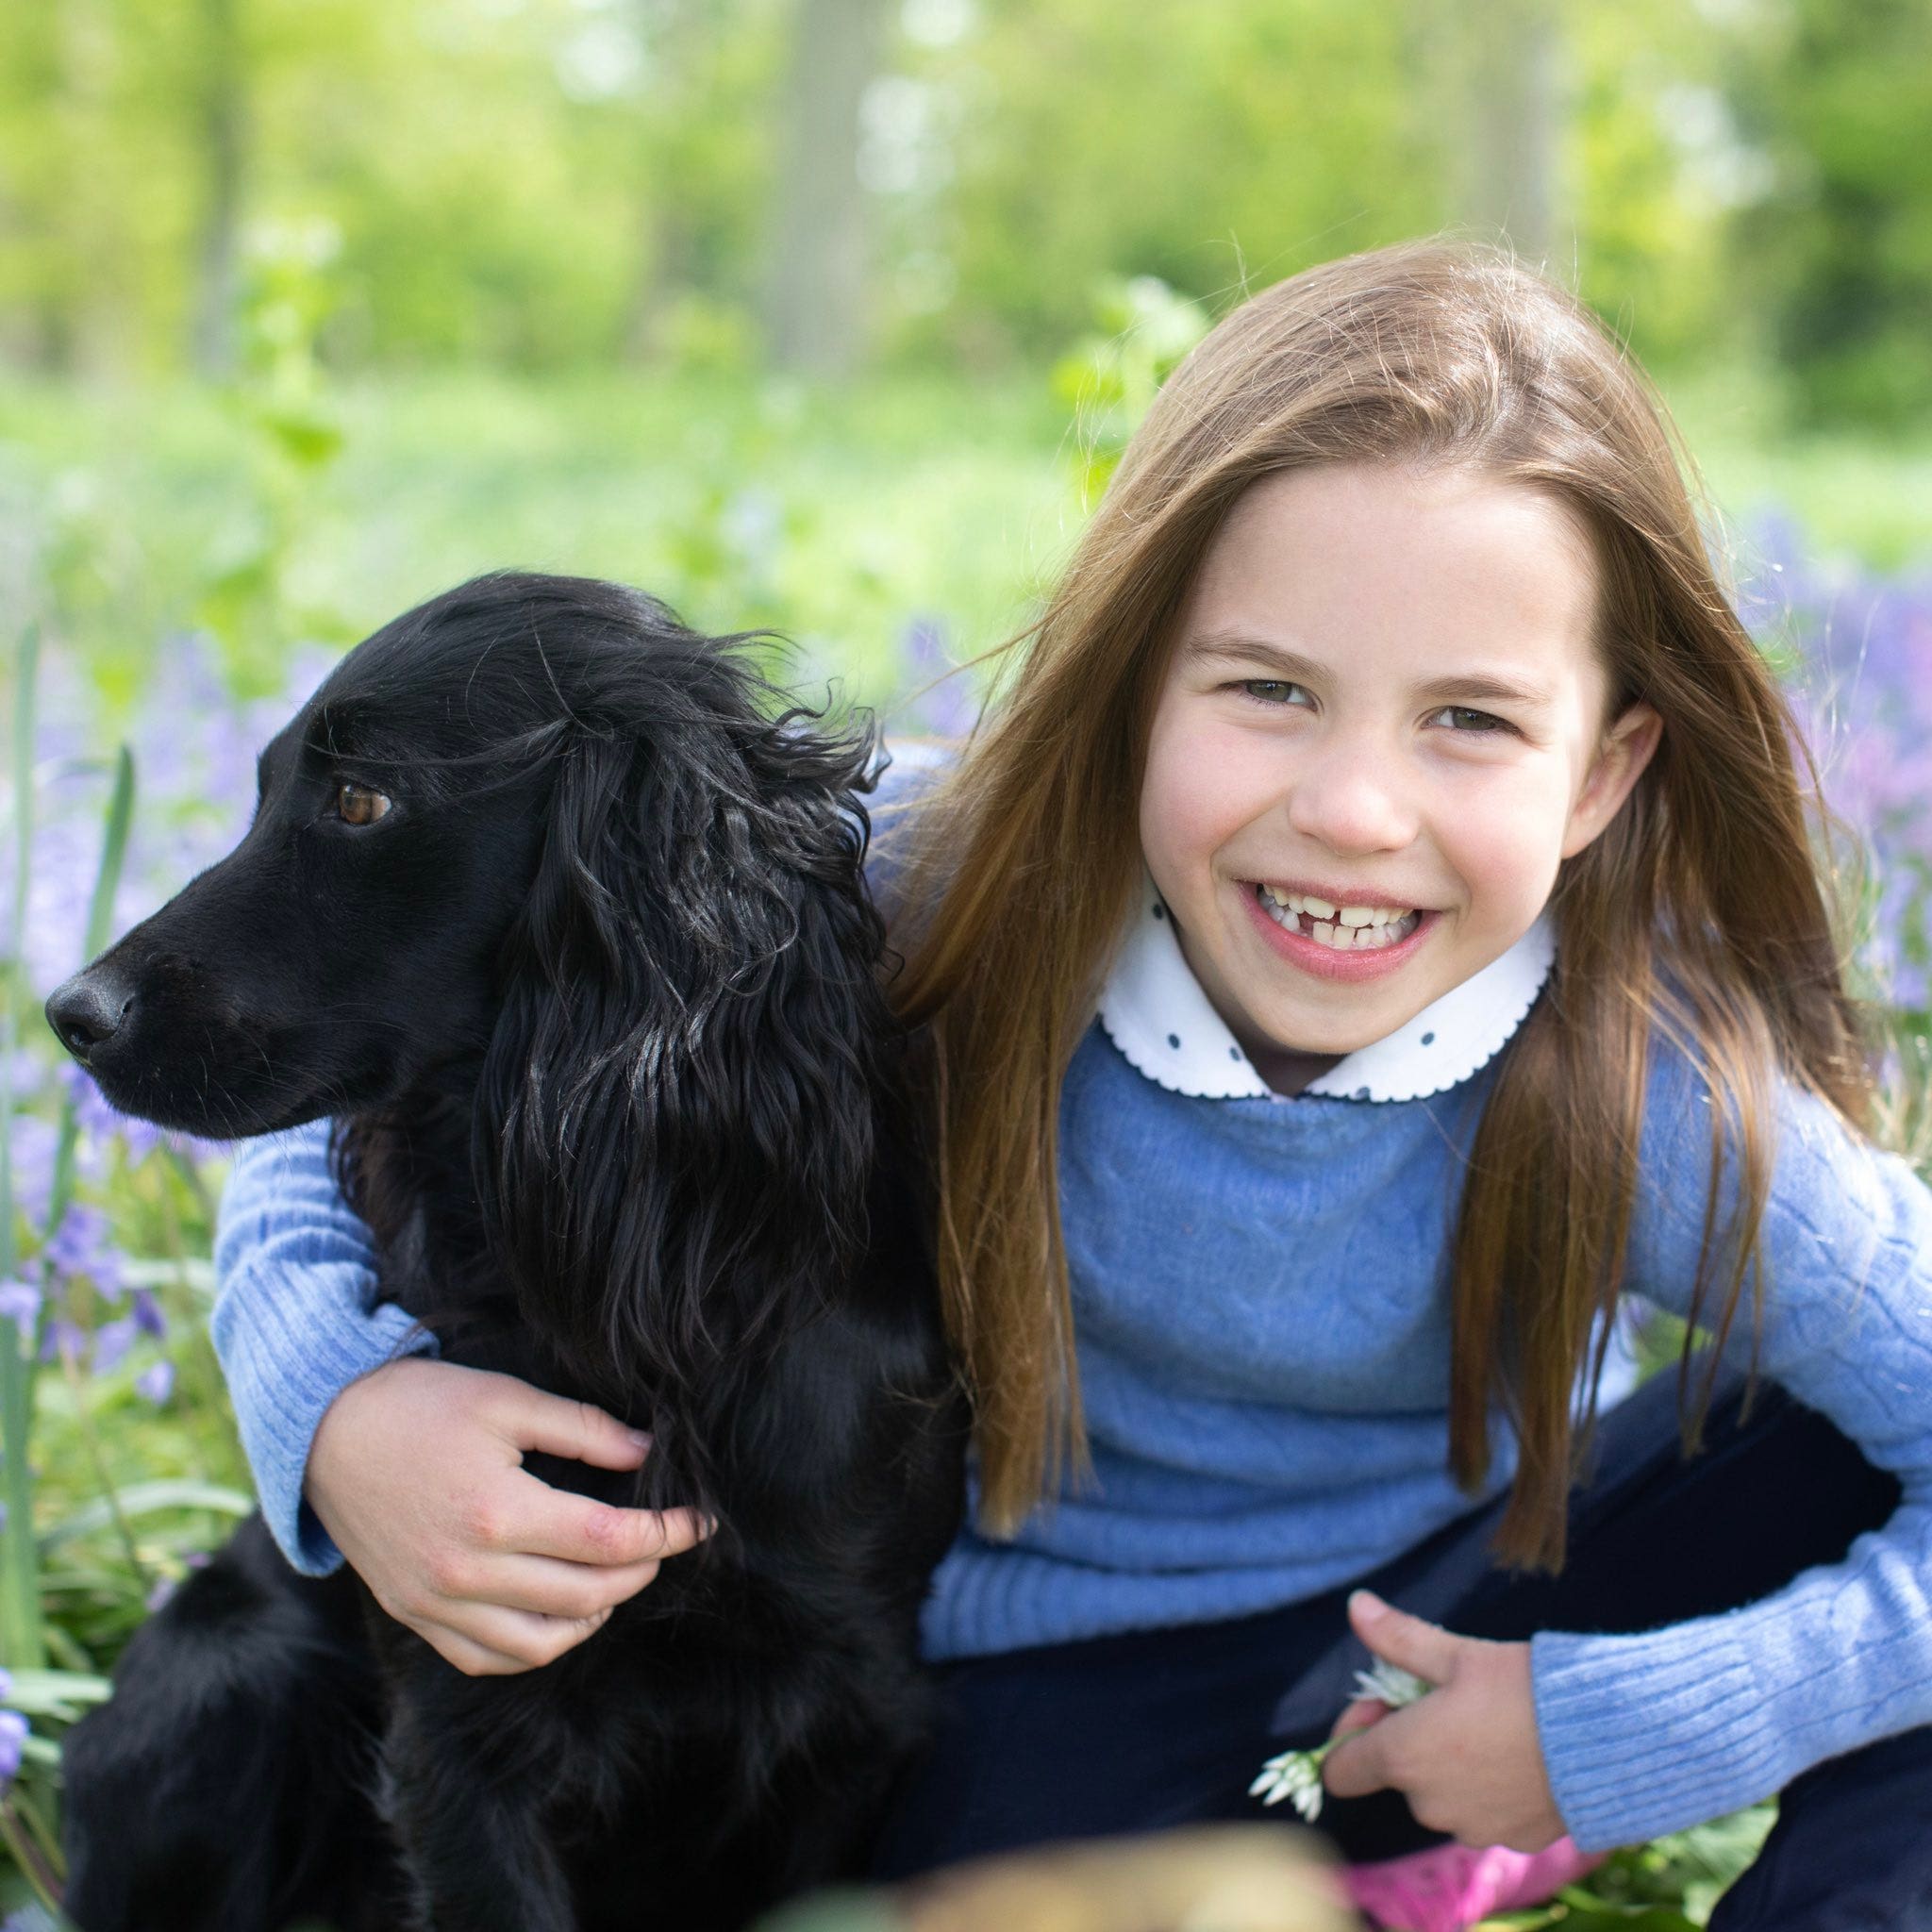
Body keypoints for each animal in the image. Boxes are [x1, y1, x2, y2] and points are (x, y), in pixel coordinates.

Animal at [45, 572, 974, 1932]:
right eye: (263, 783)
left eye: (361, 799)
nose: (70, 1012)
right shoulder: (464, 1717)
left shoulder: (854, 1705)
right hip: (230, 1671)